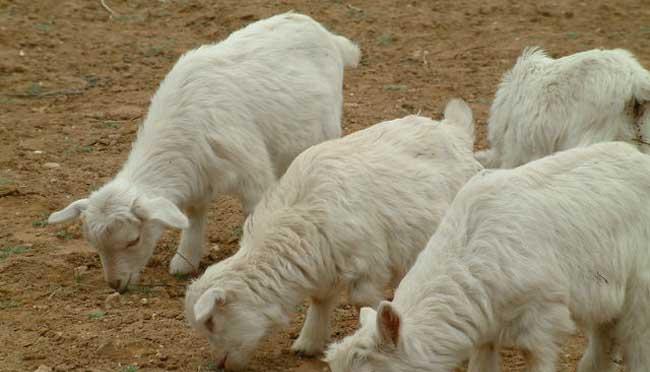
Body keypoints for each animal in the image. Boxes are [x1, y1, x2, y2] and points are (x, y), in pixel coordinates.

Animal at [45, 12, 360, 294]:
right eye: (94, 245)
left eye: (133, 240)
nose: (116, 285)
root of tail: (327, 34)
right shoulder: (196, 176)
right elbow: (194, 216)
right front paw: (185, 260)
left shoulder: (252, 174)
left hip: (327, 125)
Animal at [182, 99, 480, 372]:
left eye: (211, 321)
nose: (220, 364)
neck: (298, 218)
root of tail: (452, 129)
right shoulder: (325, 266)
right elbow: (320, 300)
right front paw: (308, 343)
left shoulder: (367, 267)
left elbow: (362, 302)